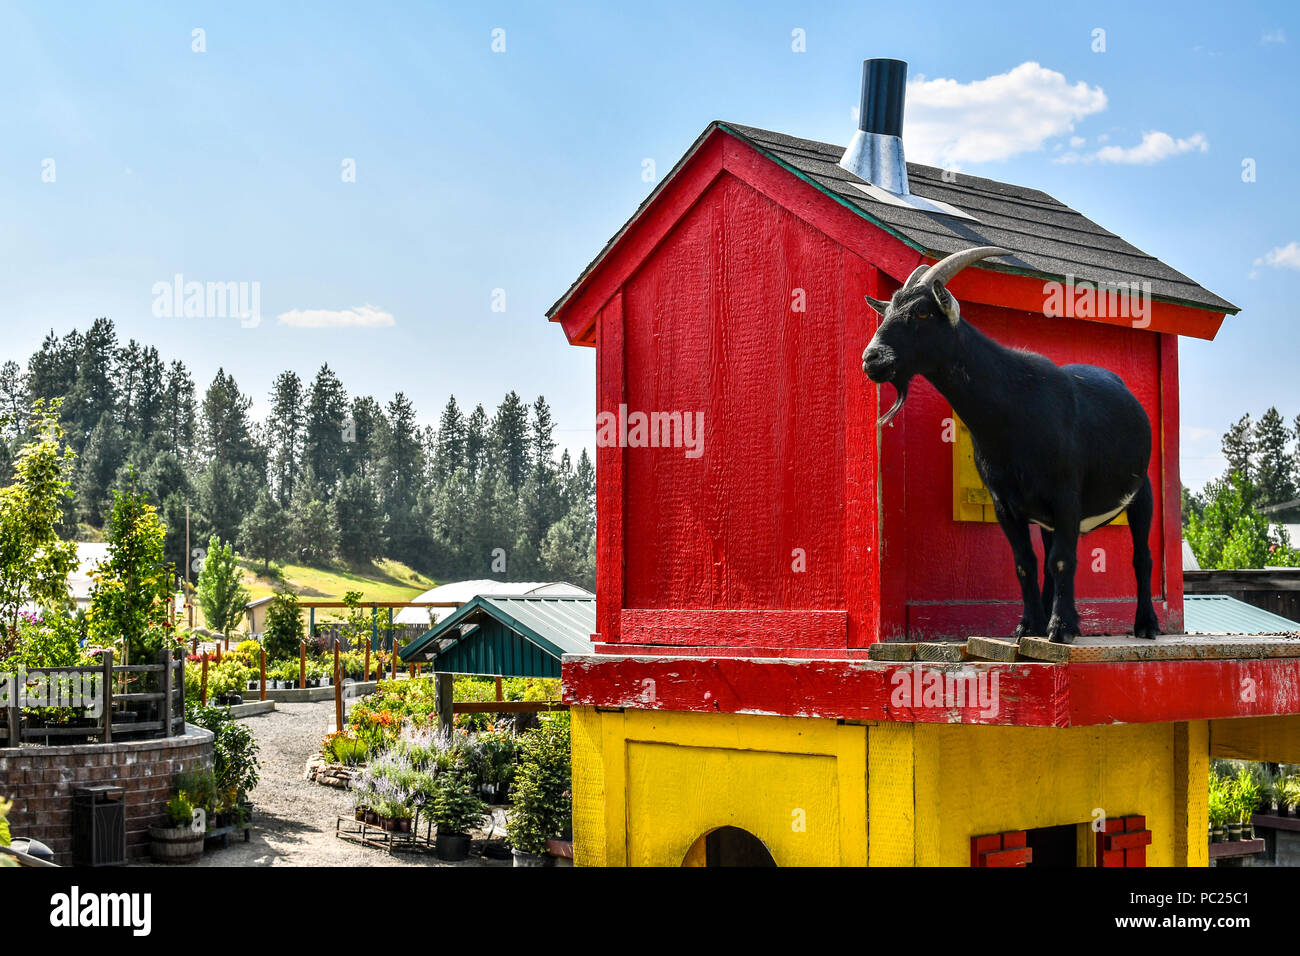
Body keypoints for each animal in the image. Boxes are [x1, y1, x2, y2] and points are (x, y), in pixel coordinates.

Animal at [863, 247, 1159, 642]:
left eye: (922, 312)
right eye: (888, 310)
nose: (872, 358)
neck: (1015, 410)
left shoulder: (1067, 494)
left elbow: (1063, 559)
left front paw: (1060, 628)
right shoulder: (1005, 503)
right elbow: (1026, 563)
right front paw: (1029, 625)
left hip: (1142, 492)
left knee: (1141, 555)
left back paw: (1145, 624)